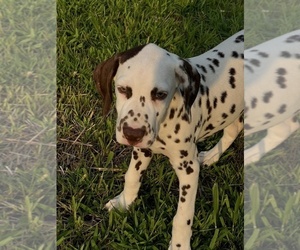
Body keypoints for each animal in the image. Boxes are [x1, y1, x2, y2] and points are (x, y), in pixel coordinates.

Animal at [94, 30, 244, 249]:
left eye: (160, 94)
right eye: (122, 89)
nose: (132, 134)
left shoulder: (188, 169)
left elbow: (182, 216)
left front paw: (179, 244)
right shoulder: (142, 150)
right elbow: (132, 176)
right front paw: (124, 203)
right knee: (234, 129)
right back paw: (212, 156)